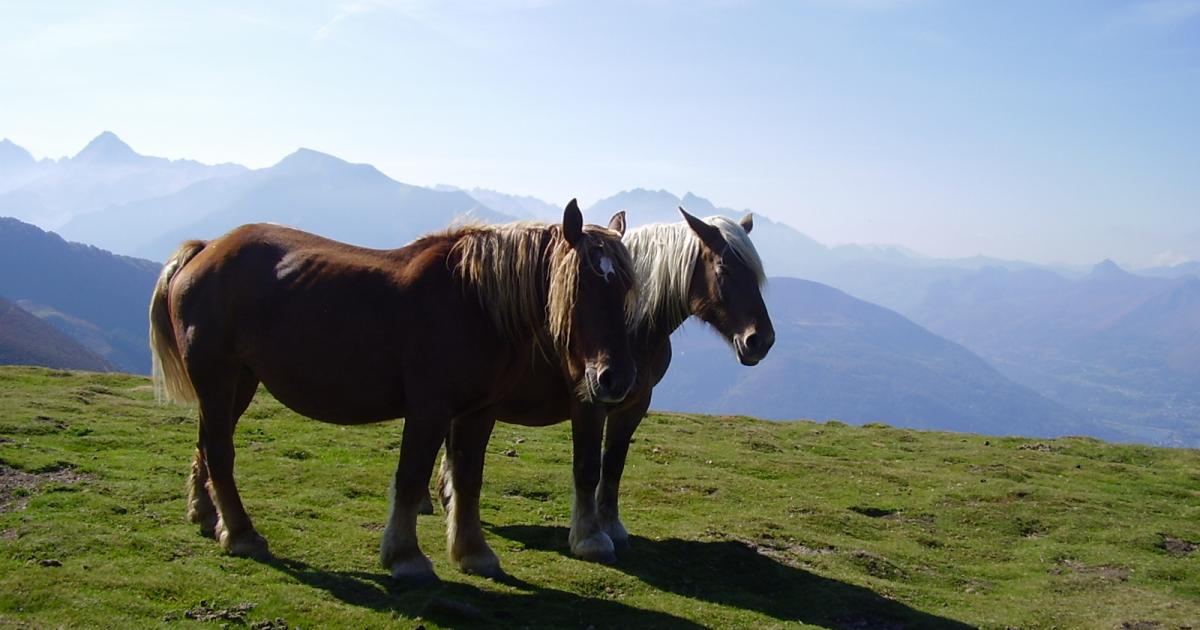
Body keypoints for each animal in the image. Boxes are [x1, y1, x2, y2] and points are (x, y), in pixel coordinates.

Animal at [148, 200, 638, 580]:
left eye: (627, 287)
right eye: (581, 285)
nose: (615, 379)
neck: (473, 301)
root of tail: (206, 250)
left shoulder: (478, 412)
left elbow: (467, 479)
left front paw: (473, 552)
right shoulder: (428, 410)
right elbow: (411, 478)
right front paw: (406, 557)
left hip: (239, 382)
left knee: (206, 445)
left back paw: (207, 515)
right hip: (217, 378)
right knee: (220, 451)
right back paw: (241, 534)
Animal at [436, 208, 772, 561]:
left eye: (754, 274)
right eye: (724, 270)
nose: (760, 341)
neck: (631, 327)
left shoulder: (634, 405)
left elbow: (613, 466)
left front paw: (612, 526)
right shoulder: (590, 403)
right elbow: (587, 469)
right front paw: (590, 537)